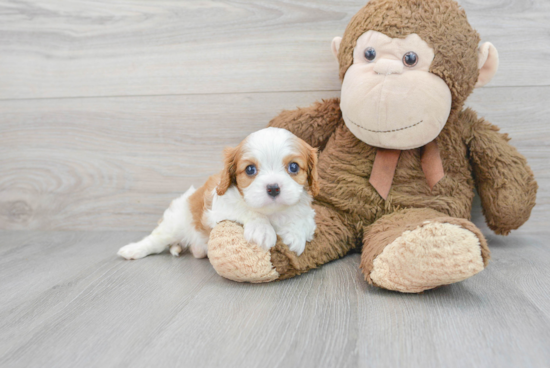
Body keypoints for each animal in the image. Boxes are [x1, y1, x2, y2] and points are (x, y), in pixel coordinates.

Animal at [118, 128, 322, 260]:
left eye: (293, 167)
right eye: (250, 169)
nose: (273, 188)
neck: (272, 213)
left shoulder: (308, 214)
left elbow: (303, 220)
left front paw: (294, 234)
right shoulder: (218, 208)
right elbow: (247, 210)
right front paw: (262, 230)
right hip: (173, 223)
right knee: (155, 240)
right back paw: (132, 250)